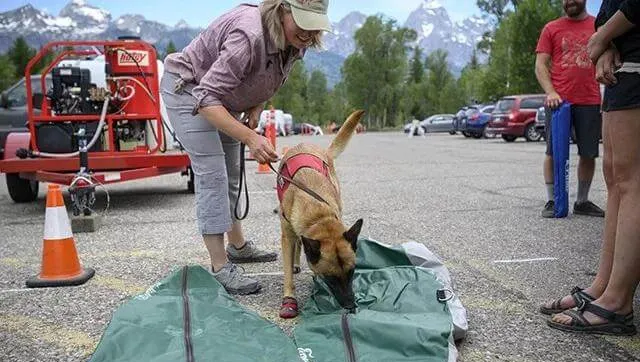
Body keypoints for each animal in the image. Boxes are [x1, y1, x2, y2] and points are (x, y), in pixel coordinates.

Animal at [276, 109, 364, 316]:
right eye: (331, 278)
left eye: (352, 272)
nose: (351, 306)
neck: (317, 213)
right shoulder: (287, 237)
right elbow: (288, 273)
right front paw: (289, 299)